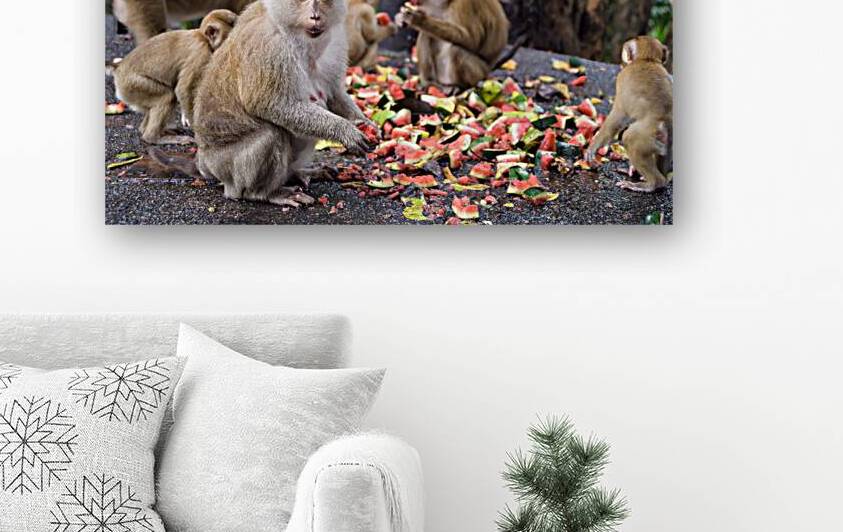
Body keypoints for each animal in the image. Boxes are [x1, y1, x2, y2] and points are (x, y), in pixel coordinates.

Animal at [111, 9, 238, 145]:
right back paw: (153, 138)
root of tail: (118, 67)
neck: (203, 38)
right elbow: (183, 90)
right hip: (131, 84)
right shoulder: (200, 53)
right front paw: (198, 132)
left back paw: (150, 130)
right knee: (167, 96)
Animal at [189, 0, 375, 207]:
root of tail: (205, 160)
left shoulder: (336, 42)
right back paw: (263, 193)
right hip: (227, 168)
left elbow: (334, 93)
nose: (315, 16)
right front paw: (345, 130)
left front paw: (363, 122)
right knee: (272, 133)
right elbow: (272, 104)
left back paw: (296, 173)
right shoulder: (270, 47)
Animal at [586, 36, 673, 193]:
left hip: (646, 136)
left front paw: (592, 148)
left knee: (629, 138)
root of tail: (666, 121)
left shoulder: (622, 78)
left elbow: (617, 117)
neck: (648, 59)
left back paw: (652, 184)